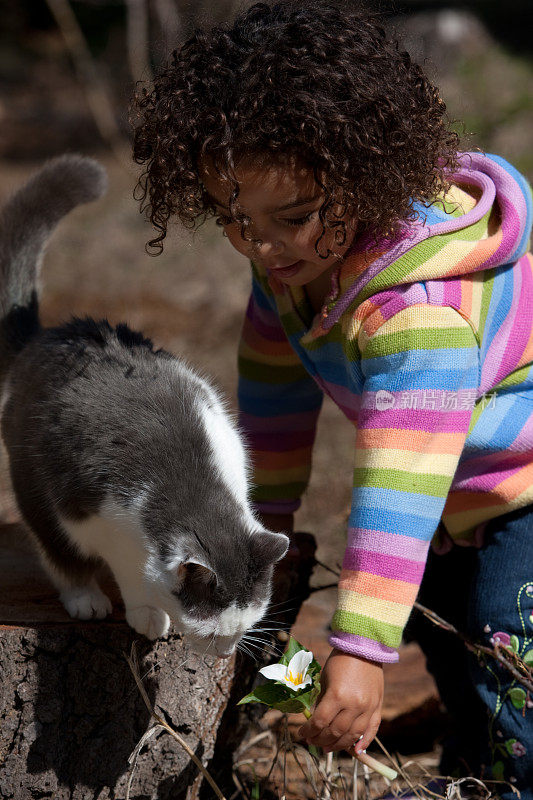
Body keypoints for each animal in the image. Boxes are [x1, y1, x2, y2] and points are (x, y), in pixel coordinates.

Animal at [0, 155, 288, 656]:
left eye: (246, 625)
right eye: (212, 632)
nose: (226, 652)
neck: (193, 489)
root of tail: (47, 335)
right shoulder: (103, 523)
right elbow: (133, 573)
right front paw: (147, 613)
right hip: (35, 486)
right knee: (58, 551)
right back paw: (85, 598)